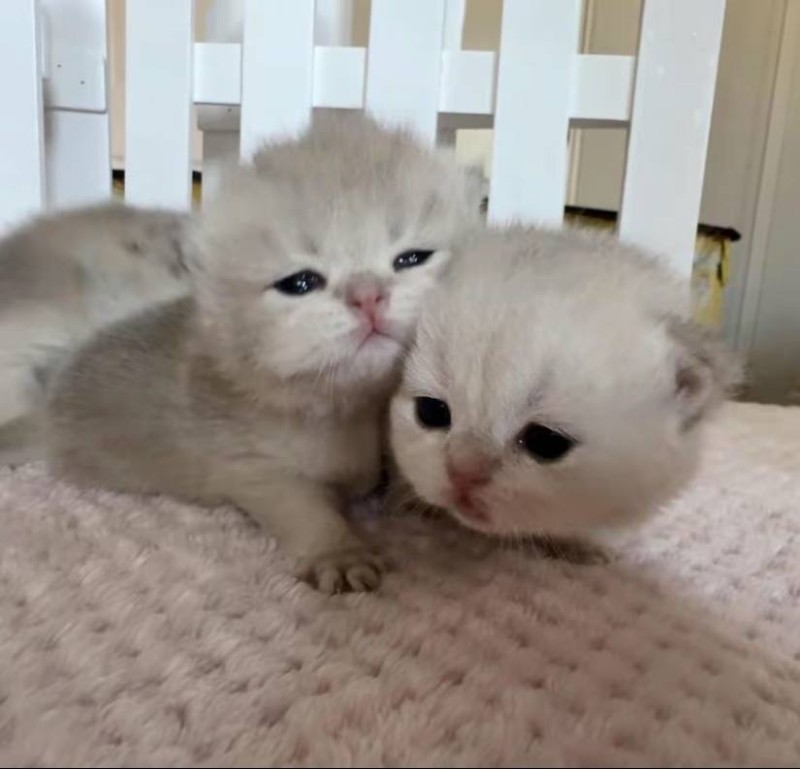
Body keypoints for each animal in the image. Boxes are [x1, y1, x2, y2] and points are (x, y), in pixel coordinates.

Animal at [43, 112, 478, 592]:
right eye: (301, 283)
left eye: (412, 258)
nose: (368, 296)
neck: (348, 408)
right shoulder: (254, 467)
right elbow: (305, 509)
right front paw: (339, 551)